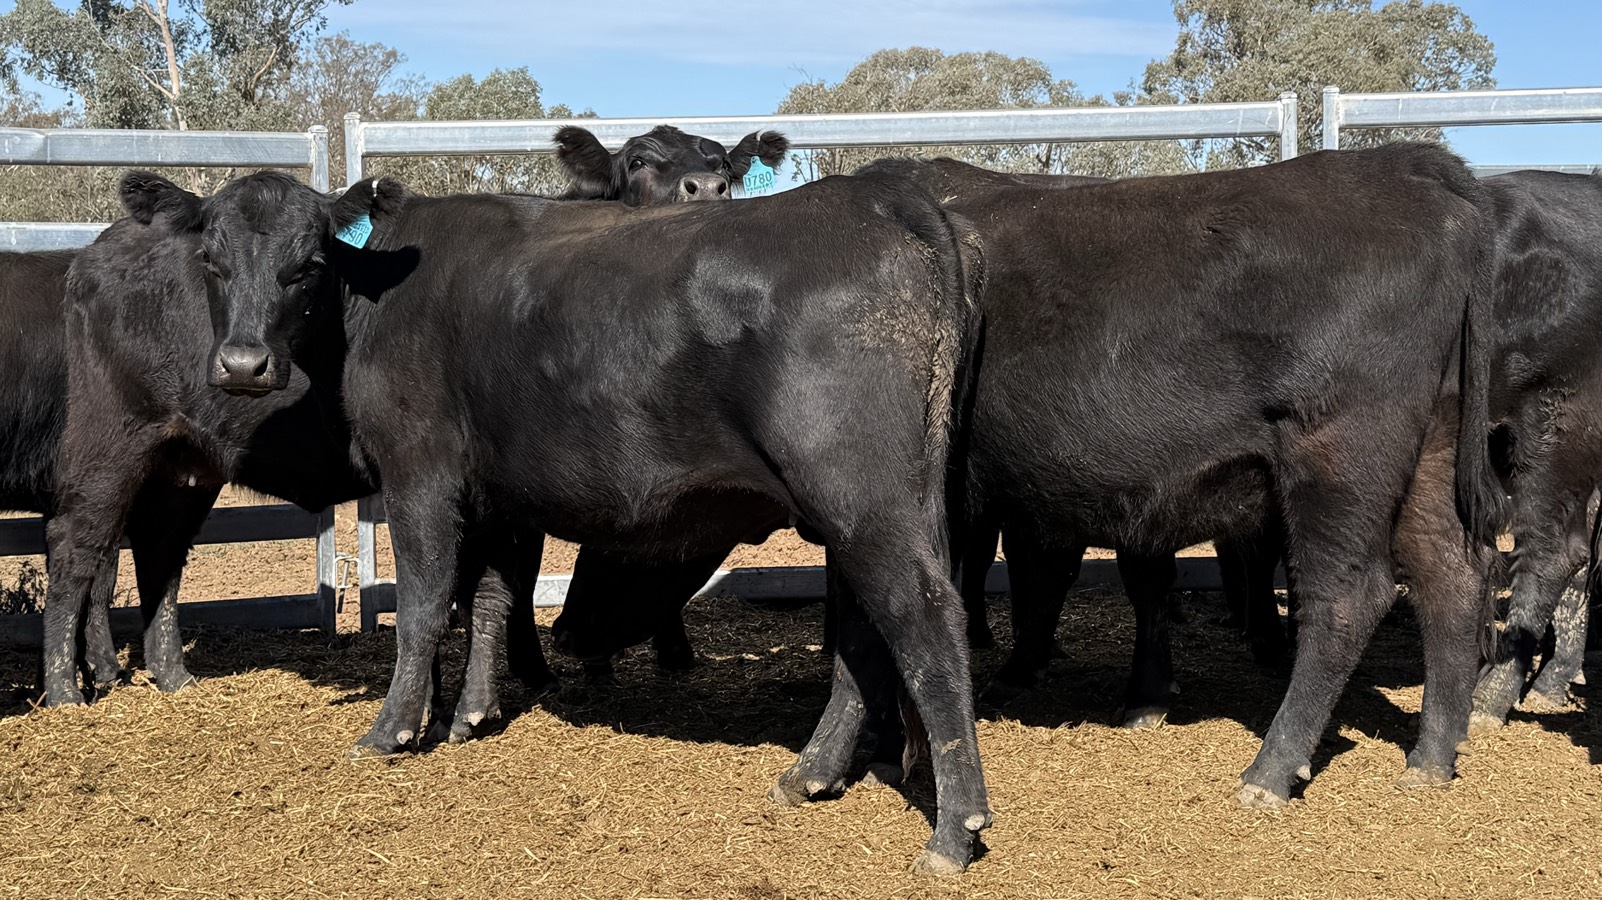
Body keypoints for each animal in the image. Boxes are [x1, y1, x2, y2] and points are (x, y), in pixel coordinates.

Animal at [166, 168, 990, 873]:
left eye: (306, 264)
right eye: (210, 260)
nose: (243, 364)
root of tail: (878, 198)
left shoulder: (418, 475)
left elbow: (426, 605)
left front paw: (393, 729)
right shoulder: (497, 496)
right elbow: (492, 597)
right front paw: (472, 714)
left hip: (861, 495)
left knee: (923, 617)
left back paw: (955, 830)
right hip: (864, 509)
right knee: (864, 629)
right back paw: (810, 774)